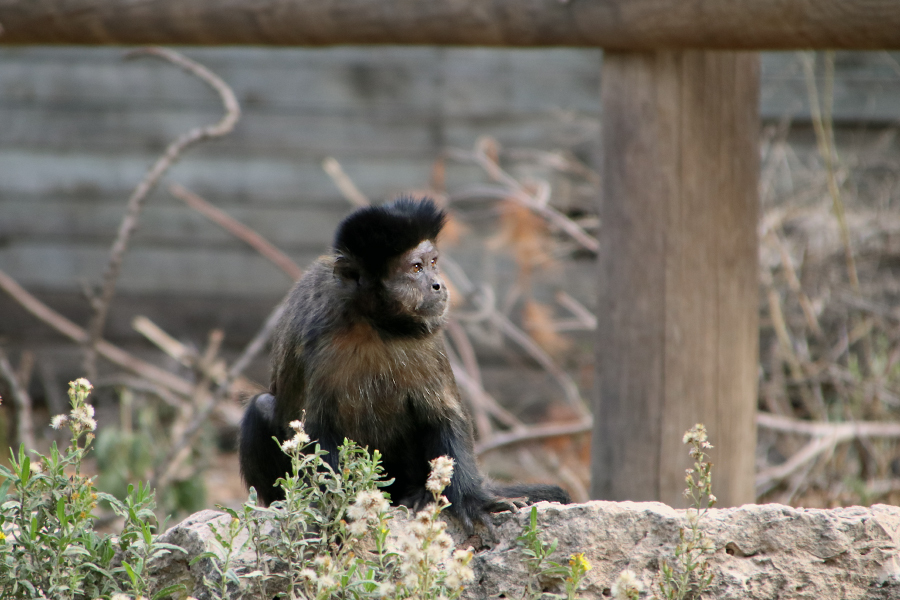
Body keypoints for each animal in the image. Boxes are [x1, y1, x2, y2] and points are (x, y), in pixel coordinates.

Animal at [239, 197, 568, 528]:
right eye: (416, 267)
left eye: (433, 263)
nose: (438, 284)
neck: (373, 323)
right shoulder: (318, 338)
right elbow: (317, 431)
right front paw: (335, 508)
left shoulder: (428, 338)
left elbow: (443, 415)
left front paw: (473, 499)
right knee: (261, 407)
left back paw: (418, 494)